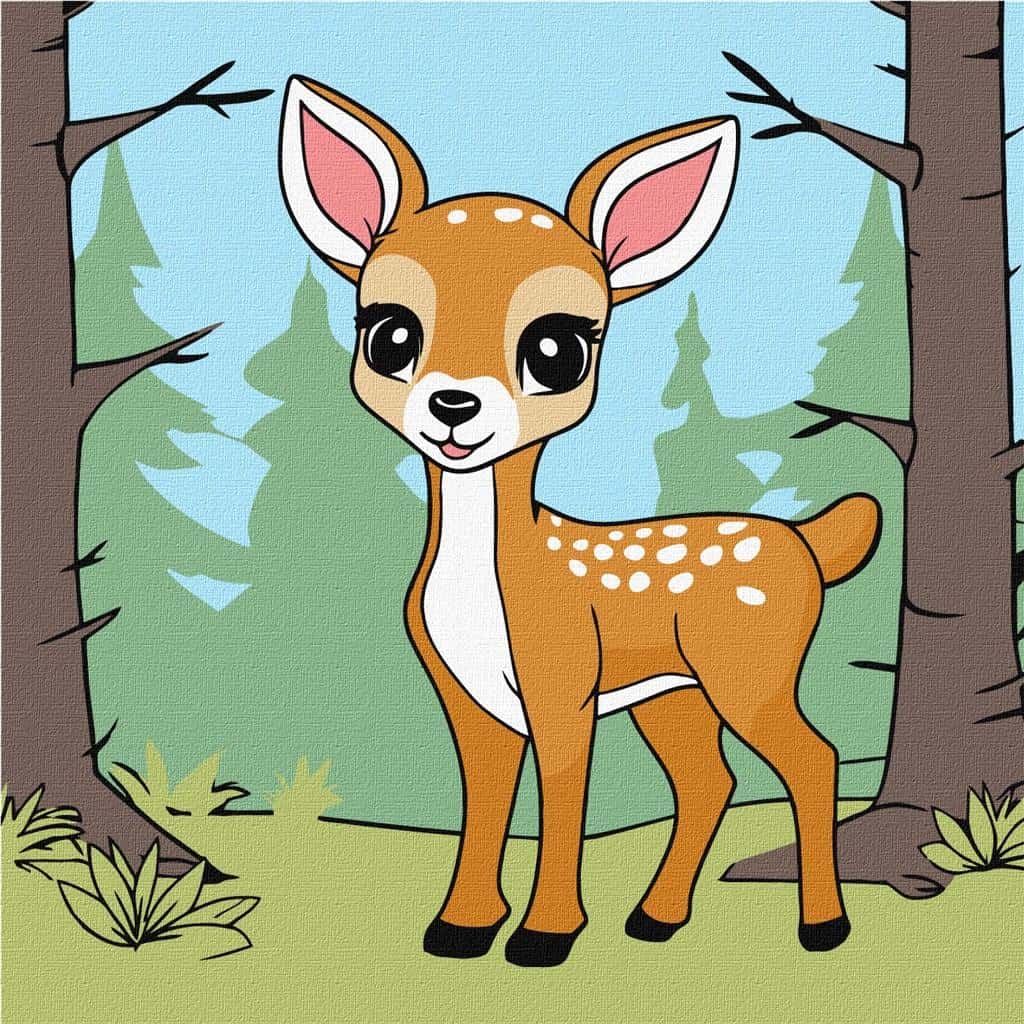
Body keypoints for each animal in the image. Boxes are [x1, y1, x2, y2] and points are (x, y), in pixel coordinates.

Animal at [279, 76, 881, 968]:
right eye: (388, 333)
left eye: (558, 348)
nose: (453, 405)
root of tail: (806, 541)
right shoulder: (467, 698)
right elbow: (485, 806)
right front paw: (460, 927)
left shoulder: (562, 680)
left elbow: (563, 799)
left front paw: (543, 936)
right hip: (673, 692)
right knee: (711, 780)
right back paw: (655, 919)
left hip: (751, 668)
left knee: (813, 759)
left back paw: (823, 926)